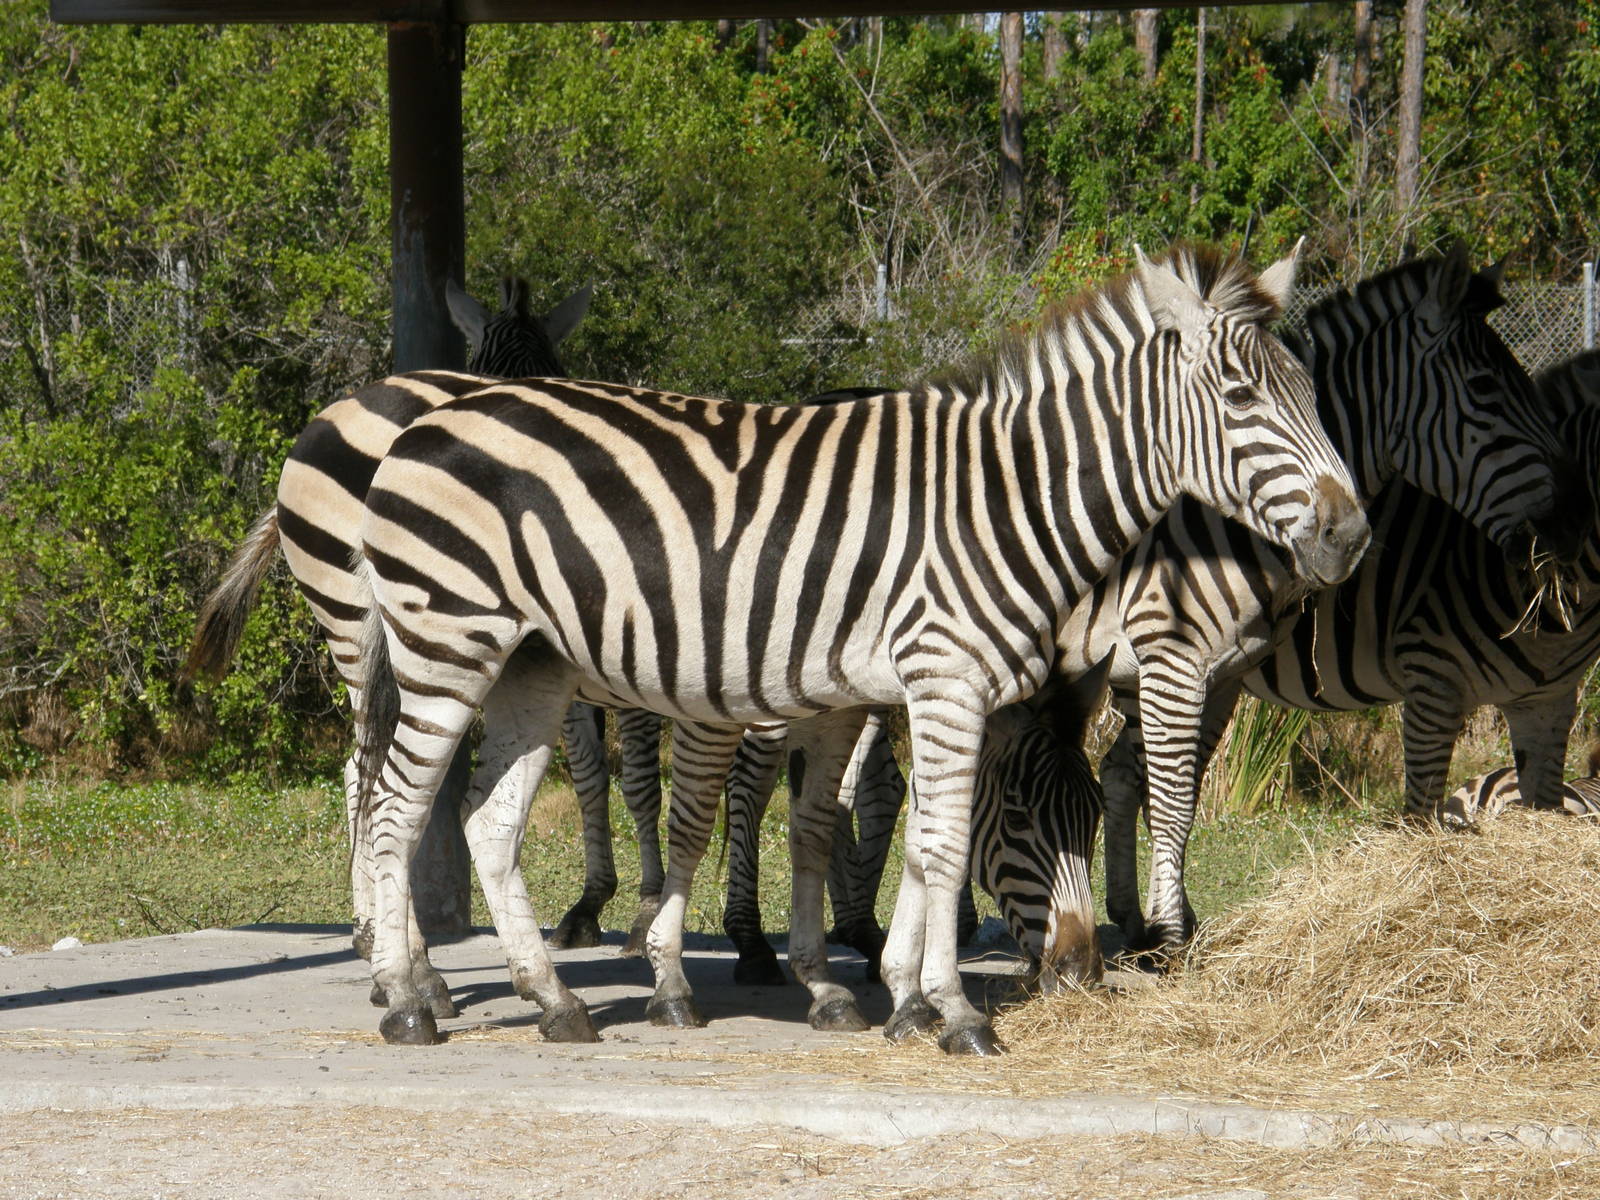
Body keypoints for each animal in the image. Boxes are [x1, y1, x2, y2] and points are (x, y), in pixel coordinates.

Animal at [351, 242, 1368, 1054]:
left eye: (1315, 396)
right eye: (1240, 397)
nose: (1351, 534)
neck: (1004, 500)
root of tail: (423, 421)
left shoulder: (904, 689)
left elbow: (903, 838)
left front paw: (900, 999)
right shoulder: (947, 679)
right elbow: (942, 842)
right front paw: (953, 1012)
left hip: (531, 664)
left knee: (485, 821)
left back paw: (554, 1002)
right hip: (448, 644)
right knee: (396, 809)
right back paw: (407, 1001)